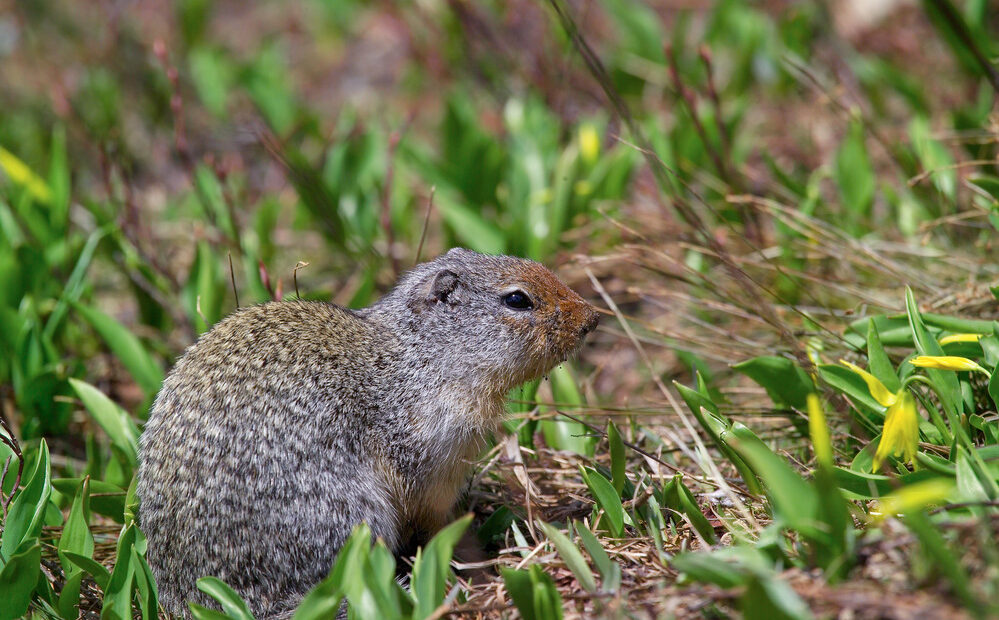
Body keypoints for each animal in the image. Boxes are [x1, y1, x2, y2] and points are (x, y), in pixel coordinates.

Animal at [136, 249, 596, 616]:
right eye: (517, 299)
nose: (591, 318)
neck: (422, 356)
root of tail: (192, 598)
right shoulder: (429, 450)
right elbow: (431, 515)